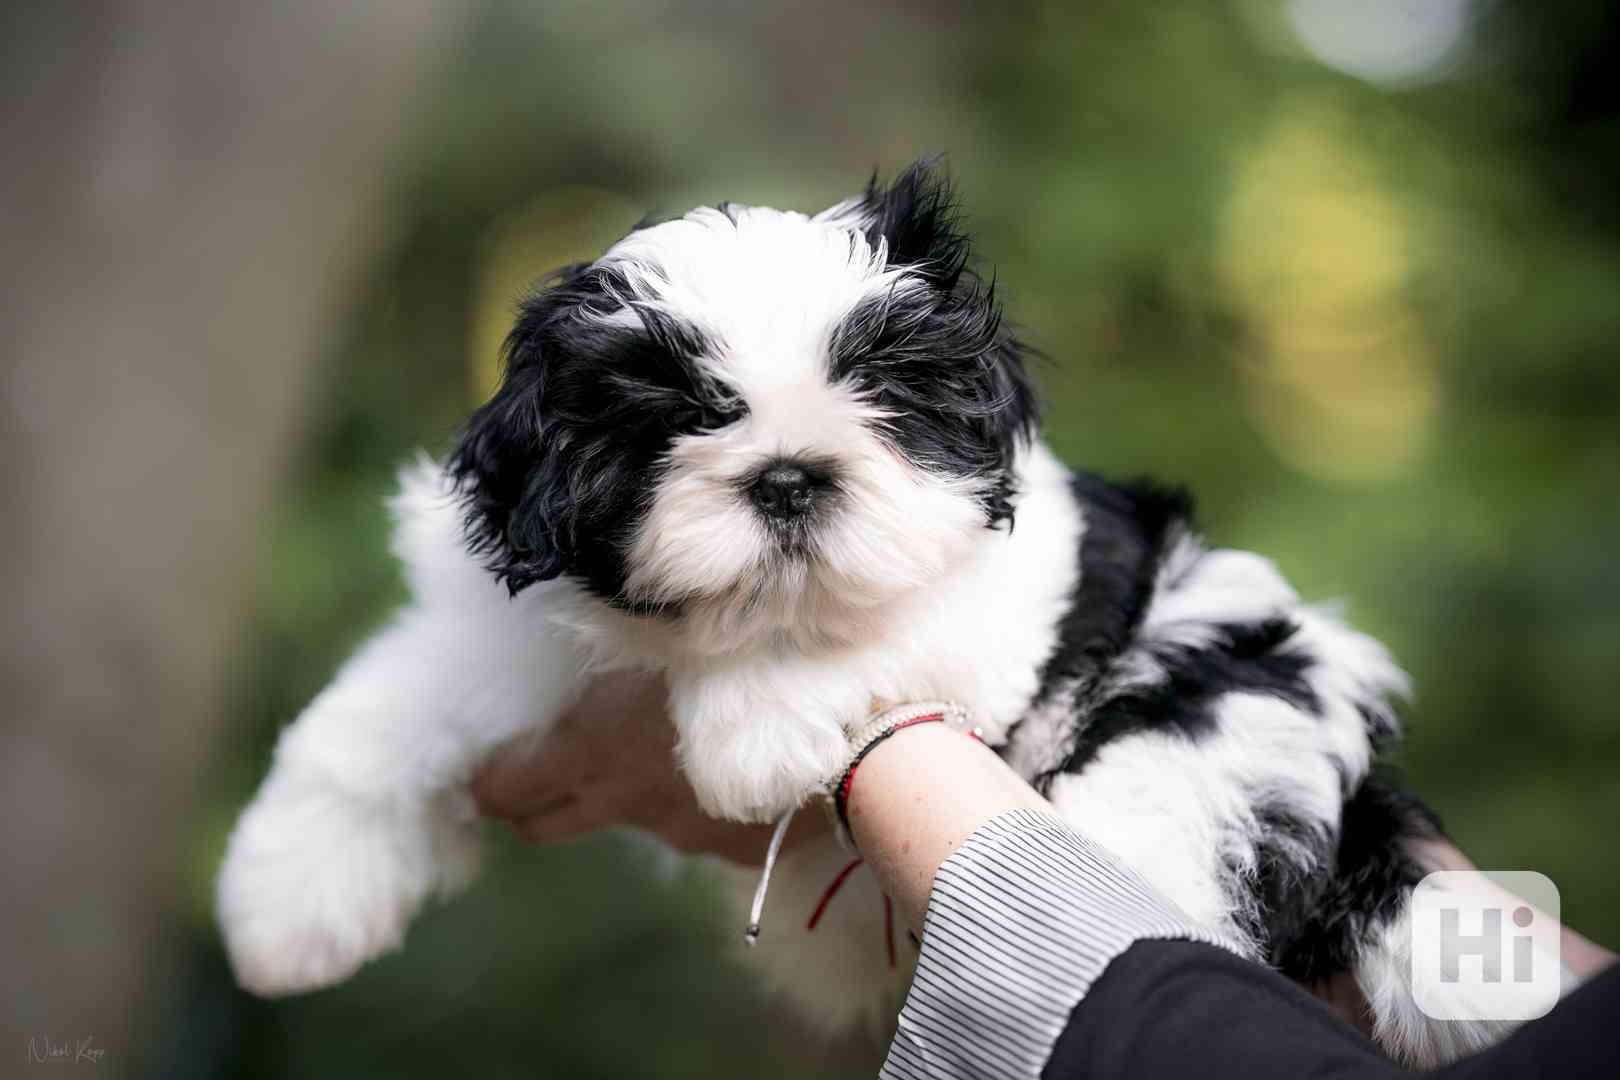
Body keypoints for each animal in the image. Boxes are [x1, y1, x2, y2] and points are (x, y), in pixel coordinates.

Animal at [218, 158, 1542, 1062]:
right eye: (677, 418)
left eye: (885, 401)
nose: (790, 474)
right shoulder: (506, 631)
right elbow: (372, 718)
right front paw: (290, 895)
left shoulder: (1006, 587)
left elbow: (865, 621)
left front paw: (752, 730)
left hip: (1223, 697)